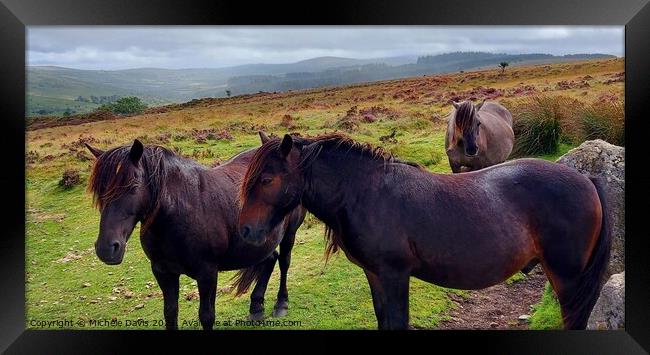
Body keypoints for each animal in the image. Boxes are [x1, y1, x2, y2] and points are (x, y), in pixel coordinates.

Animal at [85, 133, 306, 330]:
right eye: (99, 190)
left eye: (133, 186)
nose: (106, 248)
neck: (179, 212)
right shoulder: (162, 272)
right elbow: (170, 313)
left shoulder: (207, 273)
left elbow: (206, 316)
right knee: (270, 259)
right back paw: (256, 308)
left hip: (289, 234)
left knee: (284, 262)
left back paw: (281, 304)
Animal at [237, 134, 608, 330]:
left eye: (267, 179)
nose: (245, 230)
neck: (367, 193)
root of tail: (586, 179)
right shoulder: (376, 275)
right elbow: (384, 320)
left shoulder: (396, 275)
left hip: (567, 278)